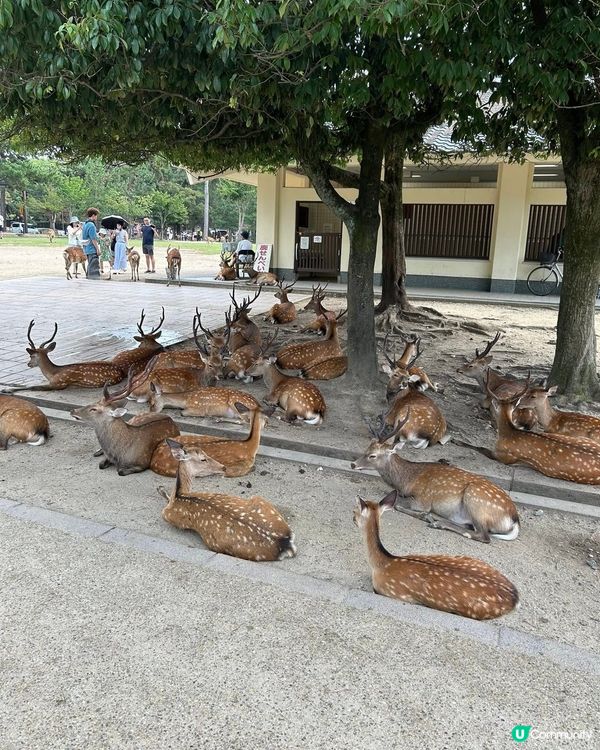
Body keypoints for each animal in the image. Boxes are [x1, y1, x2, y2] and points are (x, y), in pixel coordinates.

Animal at [157, 438, 296, 561]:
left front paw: (160, 489)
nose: (223, 467)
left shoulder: (168, 516)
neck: (180, 495)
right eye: (203, 459)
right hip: (259, 498)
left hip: (220, 545)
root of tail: (285, 544)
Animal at [351, 416, 520, 543]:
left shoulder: (423, 500)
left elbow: (399, 505)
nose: (353, 464)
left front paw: (425, 515)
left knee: (483, 535)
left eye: (372, 455)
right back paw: (439, 521)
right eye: (366, 449)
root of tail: (515, 520)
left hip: (476, 499)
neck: (406, 481)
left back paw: (437, 523)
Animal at [353, 492, 519, 619]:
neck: (382, 563)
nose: (353, 519)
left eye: (355, 512)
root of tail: (515, 597)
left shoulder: (392, 592)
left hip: (476, 609)